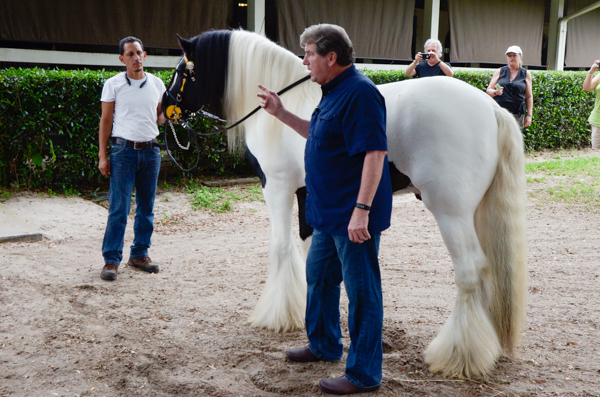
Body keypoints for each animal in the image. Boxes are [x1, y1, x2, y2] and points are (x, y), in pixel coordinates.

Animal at [162, 28, 528, 378]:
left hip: (451, 212)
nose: (162, 110)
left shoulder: (277, 188)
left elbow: (281, 248)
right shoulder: (307, 195)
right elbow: (310, 254)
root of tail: (491, 109)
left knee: (470, 271)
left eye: (181, 70)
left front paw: (276, 316)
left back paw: (459, 355)